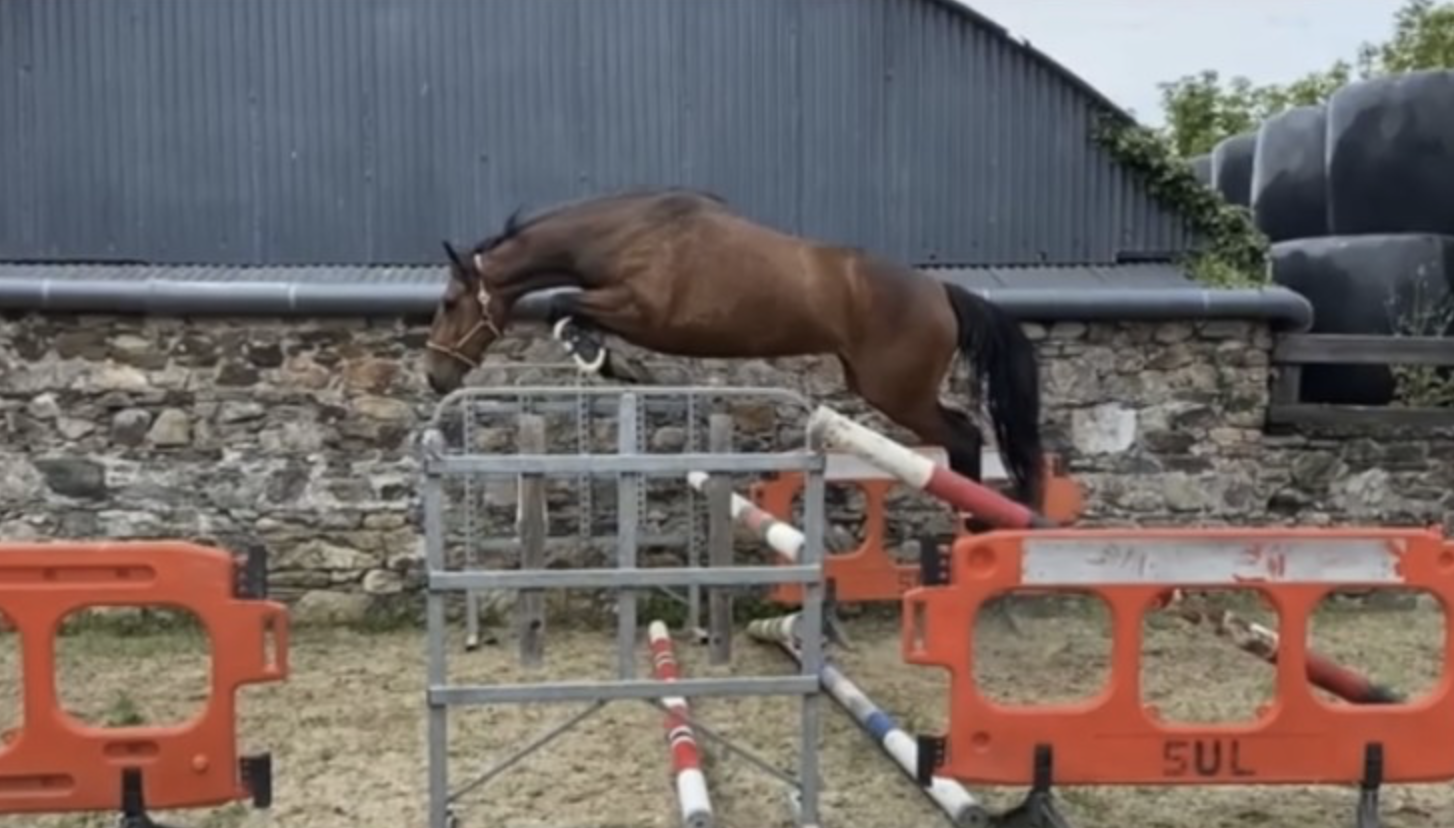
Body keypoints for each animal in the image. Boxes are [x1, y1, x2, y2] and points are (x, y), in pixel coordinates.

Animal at [423, 188, 1047, 510]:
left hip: (897, 392)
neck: (627, 235)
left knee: (962, 435)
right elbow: (566, 304)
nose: (434, 376)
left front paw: (600, 356)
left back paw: (979, 524)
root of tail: (941, 292)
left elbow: (560, 304)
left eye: (451, 302)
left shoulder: (640, 310)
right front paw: (613, 362)